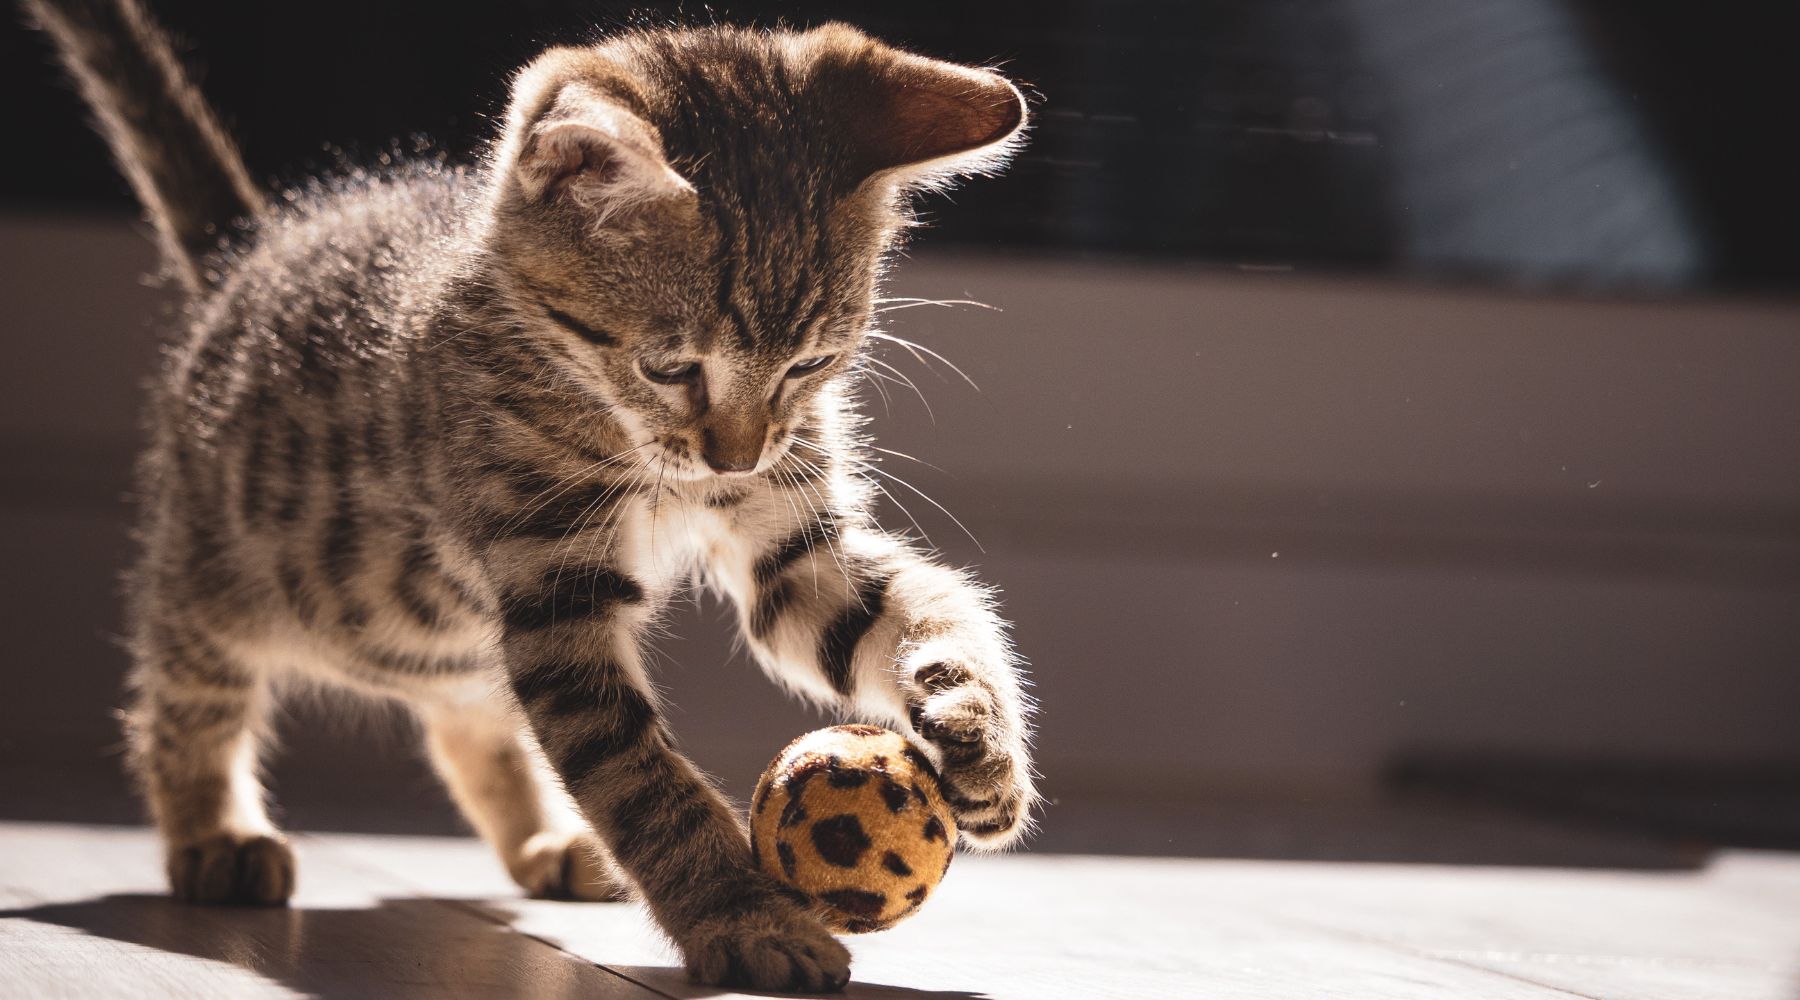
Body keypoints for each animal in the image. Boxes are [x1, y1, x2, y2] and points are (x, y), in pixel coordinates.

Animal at [24, 0, 1044, 985]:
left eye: (811, 364)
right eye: (673, 368)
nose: (736, 459)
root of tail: (254, 256)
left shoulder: (792, 550)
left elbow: (915, 607)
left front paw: (978, 734)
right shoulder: (555, 589)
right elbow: (636, 774)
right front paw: (745, 918)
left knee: (470, 720)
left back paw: (550, 843)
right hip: (219, 575)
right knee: (183, 693)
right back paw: (214, 833)